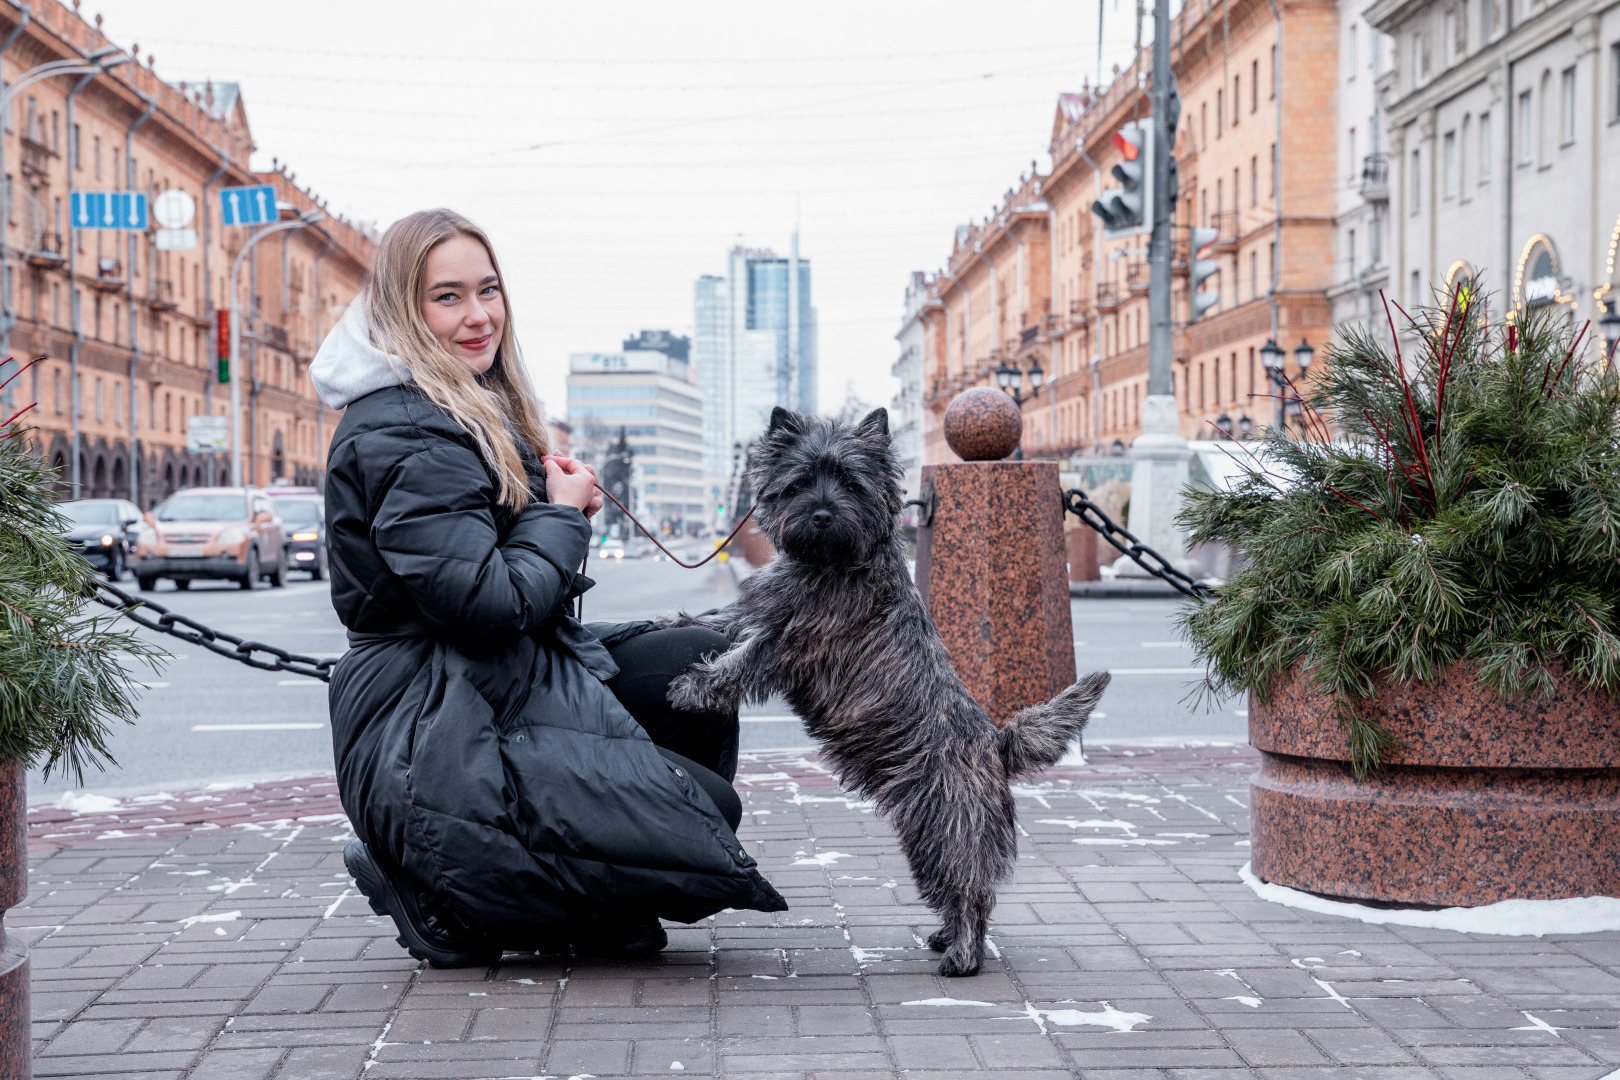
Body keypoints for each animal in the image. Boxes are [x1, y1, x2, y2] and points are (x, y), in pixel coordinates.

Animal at [664, 408, 1108, 977]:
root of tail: (995, 744)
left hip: (945, 823)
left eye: (851, 483)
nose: (822, 514)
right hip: (927, 829)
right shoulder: (764, 613)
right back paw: (947, 936)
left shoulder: (791, 644)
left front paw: (694, 685)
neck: (831, 561)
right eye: (800, 482)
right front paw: (671, 622)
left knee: (970, 886)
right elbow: (721, 620)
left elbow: (738, 662)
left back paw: (963, 953)